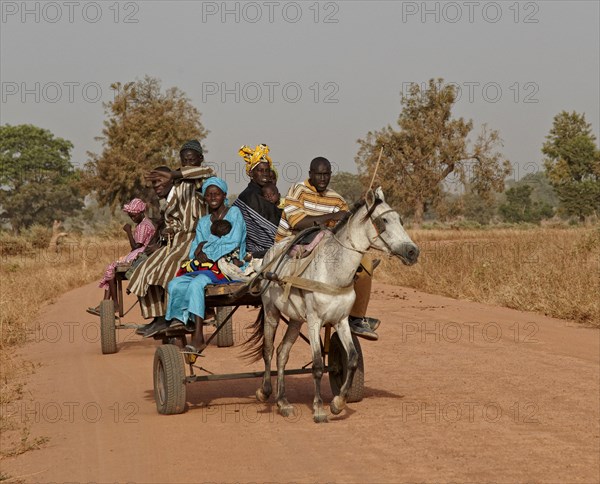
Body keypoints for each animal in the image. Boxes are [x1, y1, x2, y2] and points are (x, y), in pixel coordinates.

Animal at [246, 187, 420, 422]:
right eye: (383, 221)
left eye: (400, 220)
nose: (413, 252)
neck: (333, 272)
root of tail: (269, 256)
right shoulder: (314, 321)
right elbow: (318, 366)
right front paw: (319, 409)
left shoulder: (341, 320)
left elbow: (352, 359)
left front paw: (338, 403)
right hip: (272, 311)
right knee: (268, 350)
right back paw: (264, 392)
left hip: (295, 319)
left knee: (282, 353)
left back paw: (283, 402)